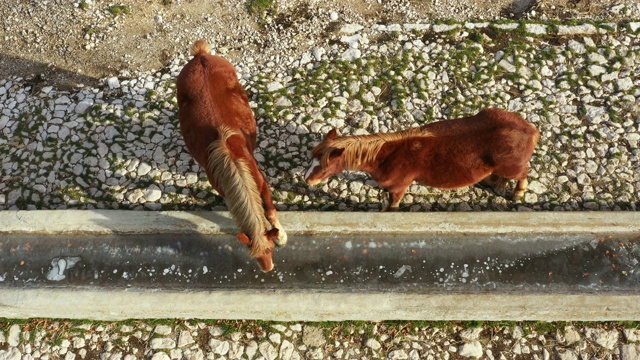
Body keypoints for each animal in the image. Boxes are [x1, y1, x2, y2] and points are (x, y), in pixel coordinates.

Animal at [175, 40, 284, 270]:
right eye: (253, 255)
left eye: (270, 249)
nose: (268, 269)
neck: (232, 161)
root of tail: (201, 56)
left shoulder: (261, 182)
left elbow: (270, 210)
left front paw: (282, 236)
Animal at [304, 109, 540, 211]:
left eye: (324, 166)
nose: (307, 180)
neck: (388, 155)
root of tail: (530, 129)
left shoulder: (398, 186)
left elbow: (393, 204)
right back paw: (494, 182)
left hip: (512, 167)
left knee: (523, 173)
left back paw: (518, 193)